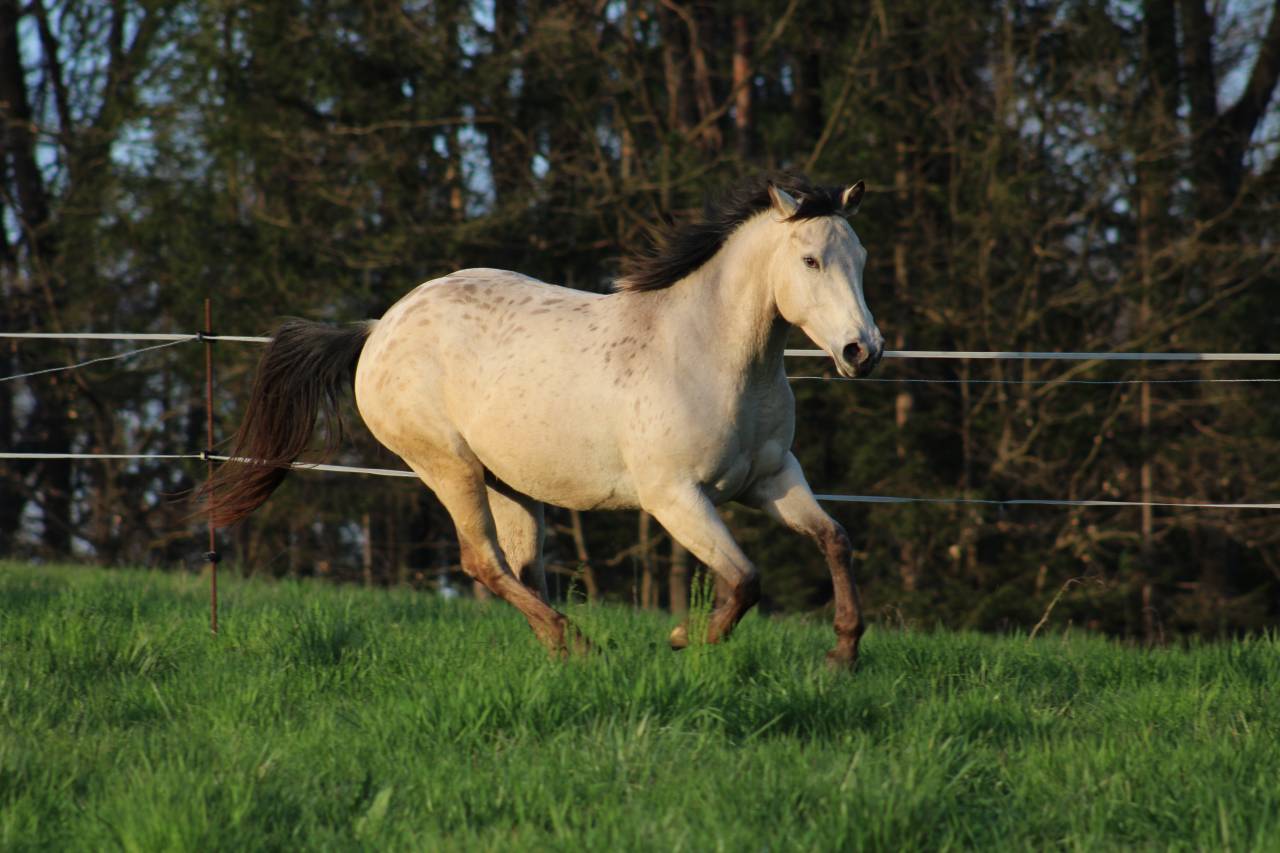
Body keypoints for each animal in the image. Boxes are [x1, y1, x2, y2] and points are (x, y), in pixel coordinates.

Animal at [205, 173, 884, 667]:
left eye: (861, 256)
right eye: (810, 261)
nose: (863, 351)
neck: (712, 357)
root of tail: (379, 328)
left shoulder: (770, 479)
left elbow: (835, 539)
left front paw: (843, 653)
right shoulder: (676, 497)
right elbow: (745, 580)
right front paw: (685, 641)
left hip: (509, 482)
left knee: (518, 567)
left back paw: (560, 644)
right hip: (447, 467)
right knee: (482, 562)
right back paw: (577, 644)